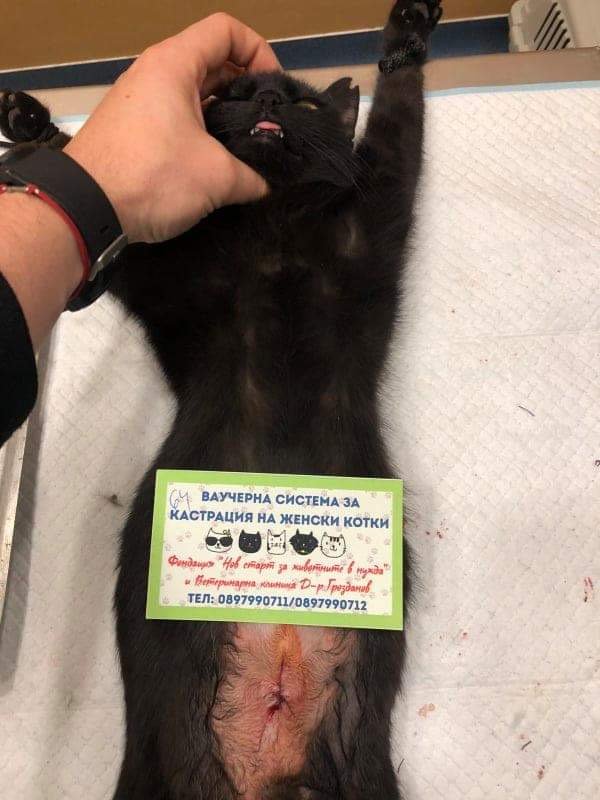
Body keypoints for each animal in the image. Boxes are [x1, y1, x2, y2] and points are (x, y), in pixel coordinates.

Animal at [0, 2, 442, 797]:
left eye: (303, 105)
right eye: (232, 95)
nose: (264, 97)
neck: (273, 226)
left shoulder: (374, 221)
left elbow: (397, 125)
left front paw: (407, 37)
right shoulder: (168, 277)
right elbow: (112, 219)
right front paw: (31, 122)